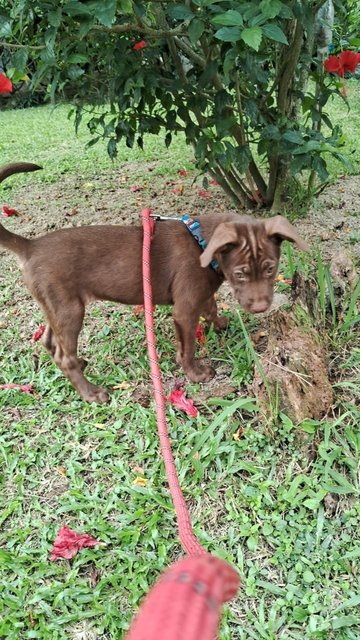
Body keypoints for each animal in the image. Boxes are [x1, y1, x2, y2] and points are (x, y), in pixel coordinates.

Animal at [0, 162, 310, 402]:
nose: (260, 307)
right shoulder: (184, 311)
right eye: (240, 274)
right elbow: (187, 348)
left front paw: (220, 323)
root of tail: (31, 246)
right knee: (63, 356)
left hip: (56, 305)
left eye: (271, 269)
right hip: (70, 309)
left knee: (52, 343)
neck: (201, 242)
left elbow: (211, 305)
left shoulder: (202, 291)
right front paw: (196, 373)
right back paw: (91, 392)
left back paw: (80, 362)